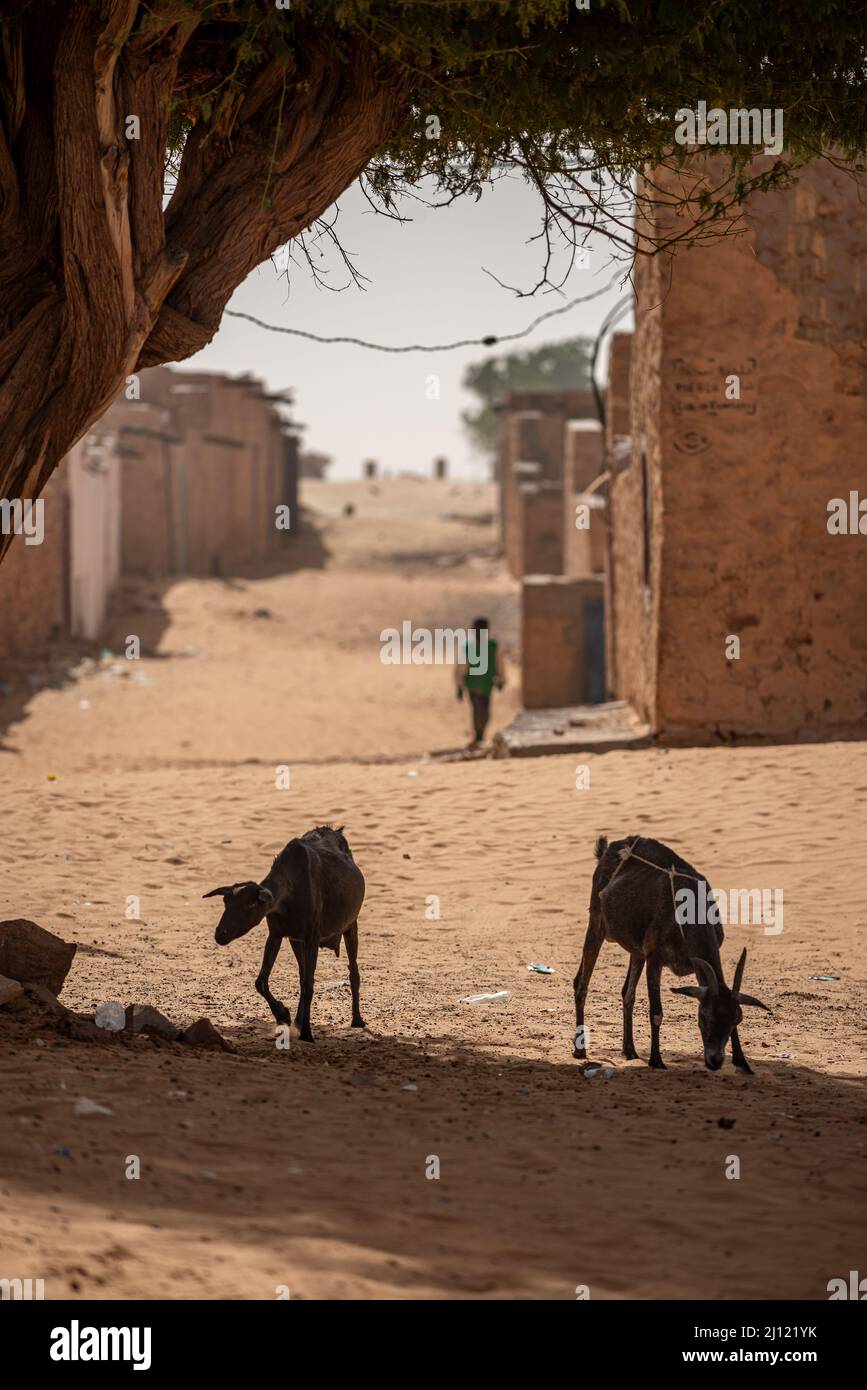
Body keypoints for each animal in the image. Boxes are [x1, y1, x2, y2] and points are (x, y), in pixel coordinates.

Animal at [204, 822, 364, 1045]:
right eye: (226, 902)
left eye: (250, 905)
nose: (220, 934)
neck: (289, 896)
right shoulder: (278, 934)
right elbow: (261, 981)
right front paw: (283, 1015)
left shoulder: (312, 936)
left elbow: (309, 985)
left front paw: (307, 1033)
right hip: (297, 941)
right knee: (302, 975)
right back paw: (297, 1020)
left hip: (350, 925)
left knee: (353, 971)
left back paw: (357, 1020)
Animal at [572, 834, 766, 1073]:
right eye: (703, 1017)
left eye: (735, 1020)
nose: (715, 1060)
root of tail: (609, 848)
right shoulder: (655, 959)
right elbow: (656, 1012)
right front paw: (656, 1059)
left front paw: (741, 1061)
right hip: (597, 923)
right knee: (581, 984)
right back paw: (580, 1050)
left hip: (637, 950)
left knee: (627, 993)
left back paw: (629, 1050)